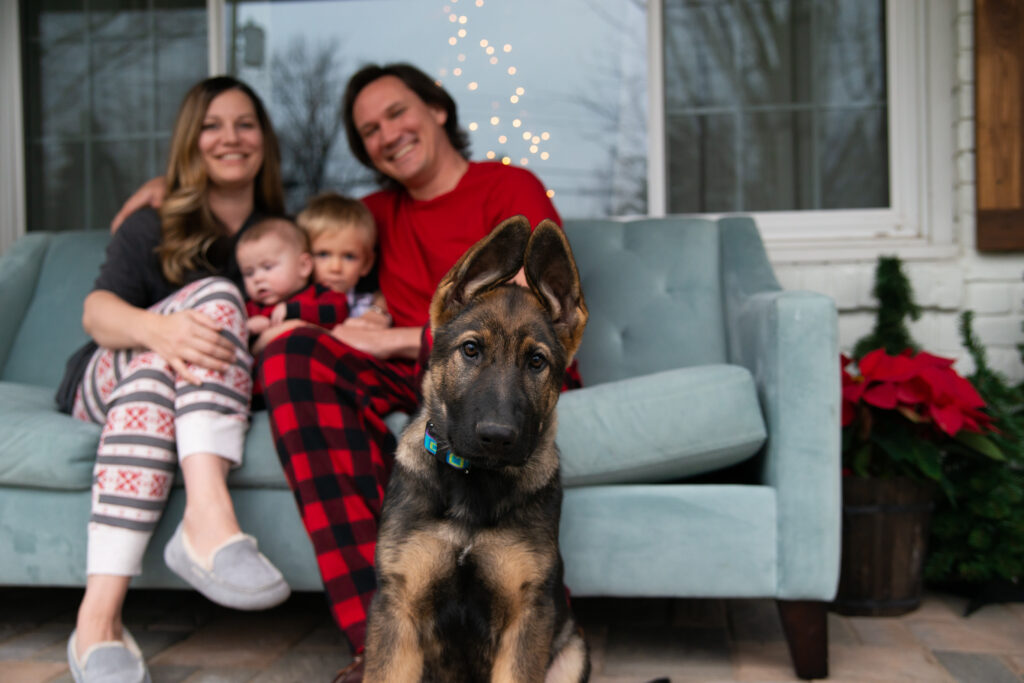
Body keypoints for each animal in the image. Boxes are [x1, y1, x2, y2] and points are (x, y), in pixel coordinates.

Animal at [366, 215, 593, 683]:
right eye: (471, 349)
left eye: (536, 362)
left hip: (573, 651)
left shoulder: (527, 615)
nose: (497, 436)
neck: (472, 483)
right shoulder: (397, 607)